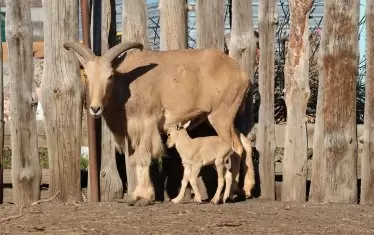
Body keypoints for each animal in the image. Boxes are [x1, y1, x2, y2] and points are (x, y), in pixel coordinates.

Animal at [62, 41, 256, 205]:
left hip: (221, 116)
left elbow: (143, 157)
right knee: (246, 143)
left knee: (236, 148)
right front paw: (136, 195)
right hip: (222, 118)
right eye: (86, 75)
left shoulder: (147, 123)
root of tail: (243, 75)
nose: (95, 108)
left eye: (109, 76)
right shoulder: (132, 131)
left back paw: (229, 194)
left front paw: (143, 196)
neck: (126, 86)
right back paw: (246, 189)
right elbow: (134, 157)